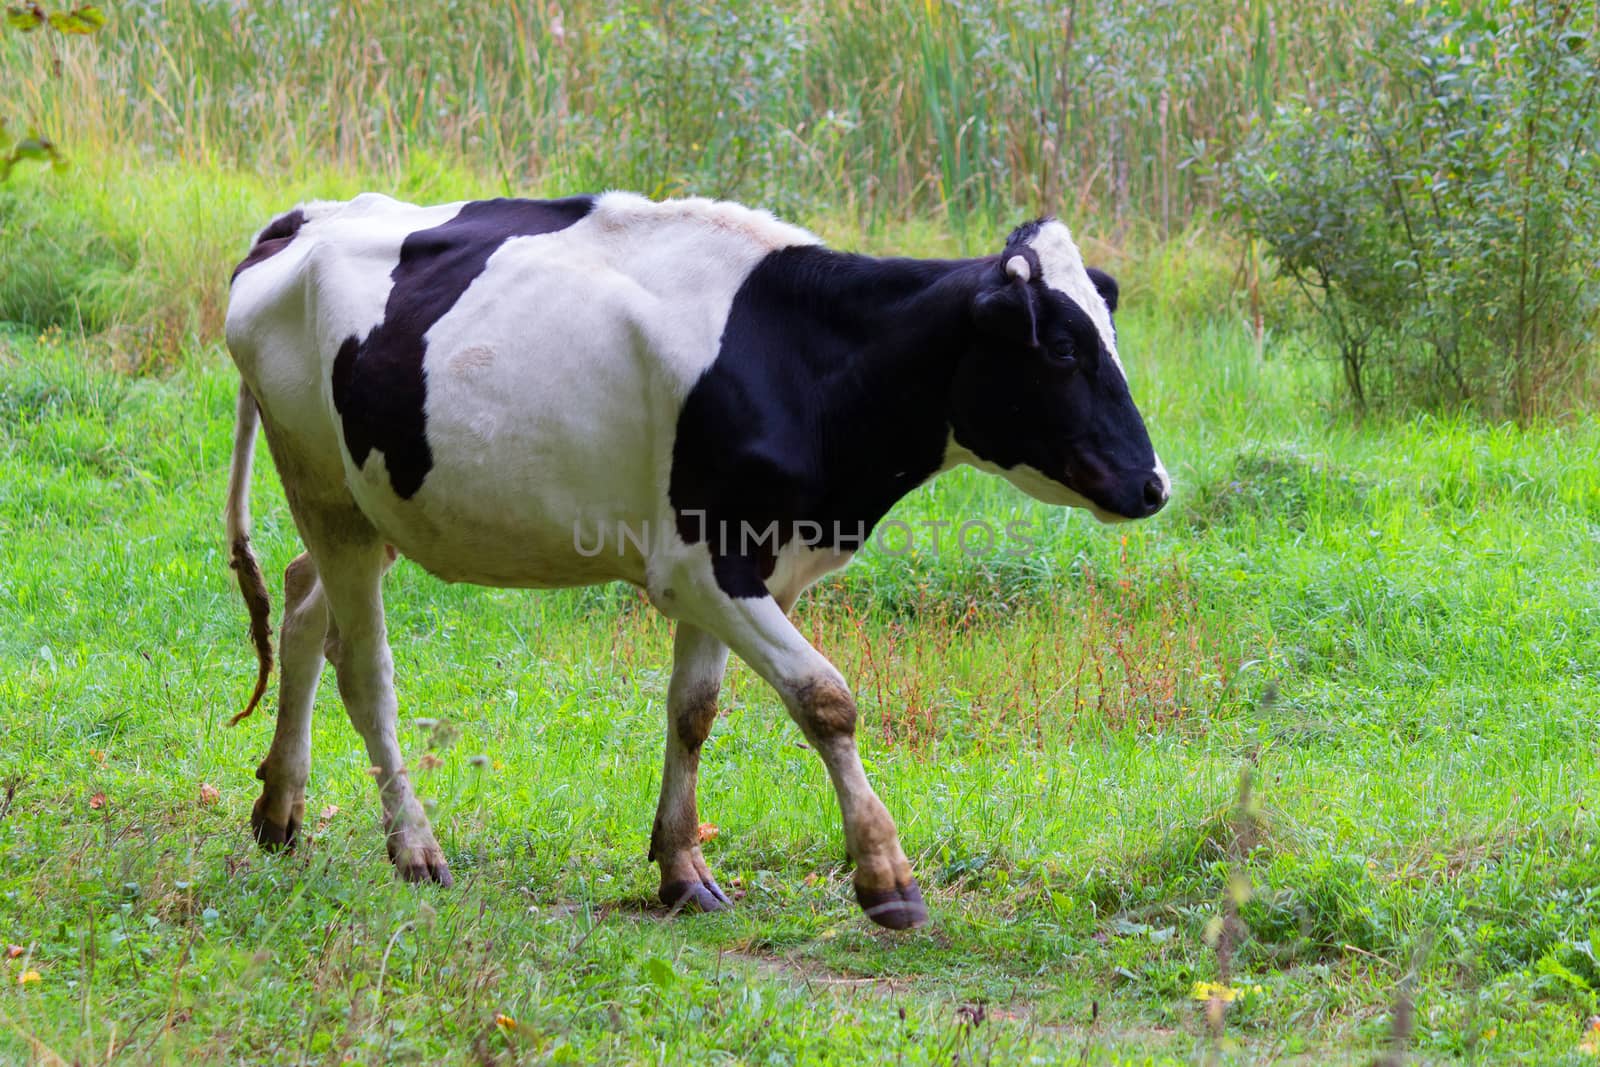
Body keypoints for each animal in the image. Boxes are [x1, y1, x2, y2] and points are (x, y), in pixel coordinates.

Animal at [225, 195, 1171, 927]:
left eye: (1113, 341)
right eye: (1062, 350)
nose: (1153, 483)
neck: (808, 365)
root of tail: (309, 215)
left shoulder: (737, 573)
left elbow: (694, 710)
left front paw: (681, 869)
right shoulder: (704, 565)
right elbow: (825, 697)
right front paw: (885, 876)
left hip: (365, 501)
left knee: (304, 607)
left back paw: (279, 808)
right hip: (324, 490)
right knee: (365, 670)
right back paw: (413, 846)